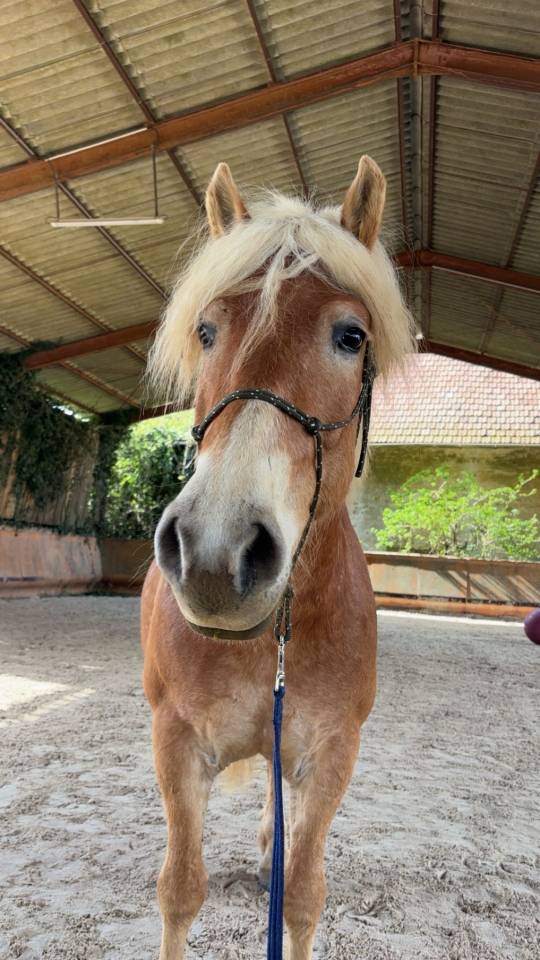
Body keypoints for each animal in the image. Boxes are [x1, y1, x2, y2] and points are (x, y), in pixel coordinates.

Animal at [141, 155, 415, 959]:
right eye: (206, 330)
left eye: (351, 336)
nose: (215, 551)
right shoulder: (176, 744)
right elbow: (180, 889)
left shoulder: (329, 756)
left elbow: (301, 895)